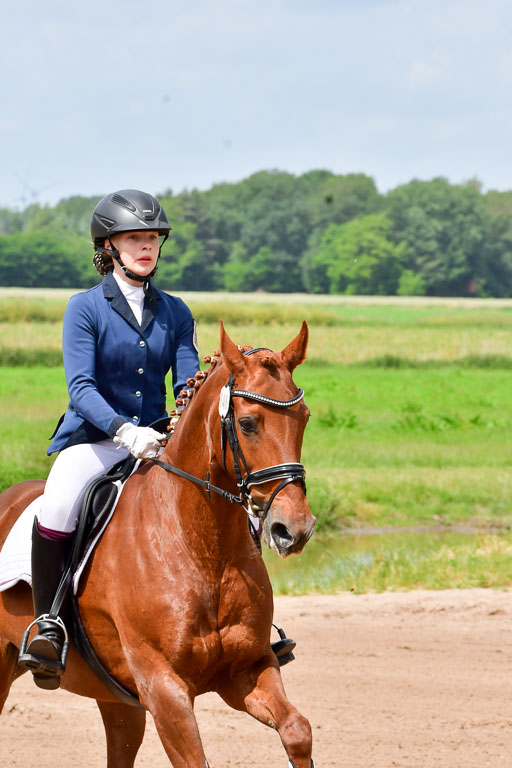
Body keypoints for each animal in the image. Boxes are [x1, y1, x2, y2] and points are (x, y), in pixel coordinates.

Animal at [0, 322, 316, 767]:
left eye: (303, 418)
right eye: (248, 423)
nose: (295, 528)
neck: (204, 548)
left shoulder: (247, 668)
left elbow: (297, 731)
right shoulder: (163, 686)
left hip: (116, 699)